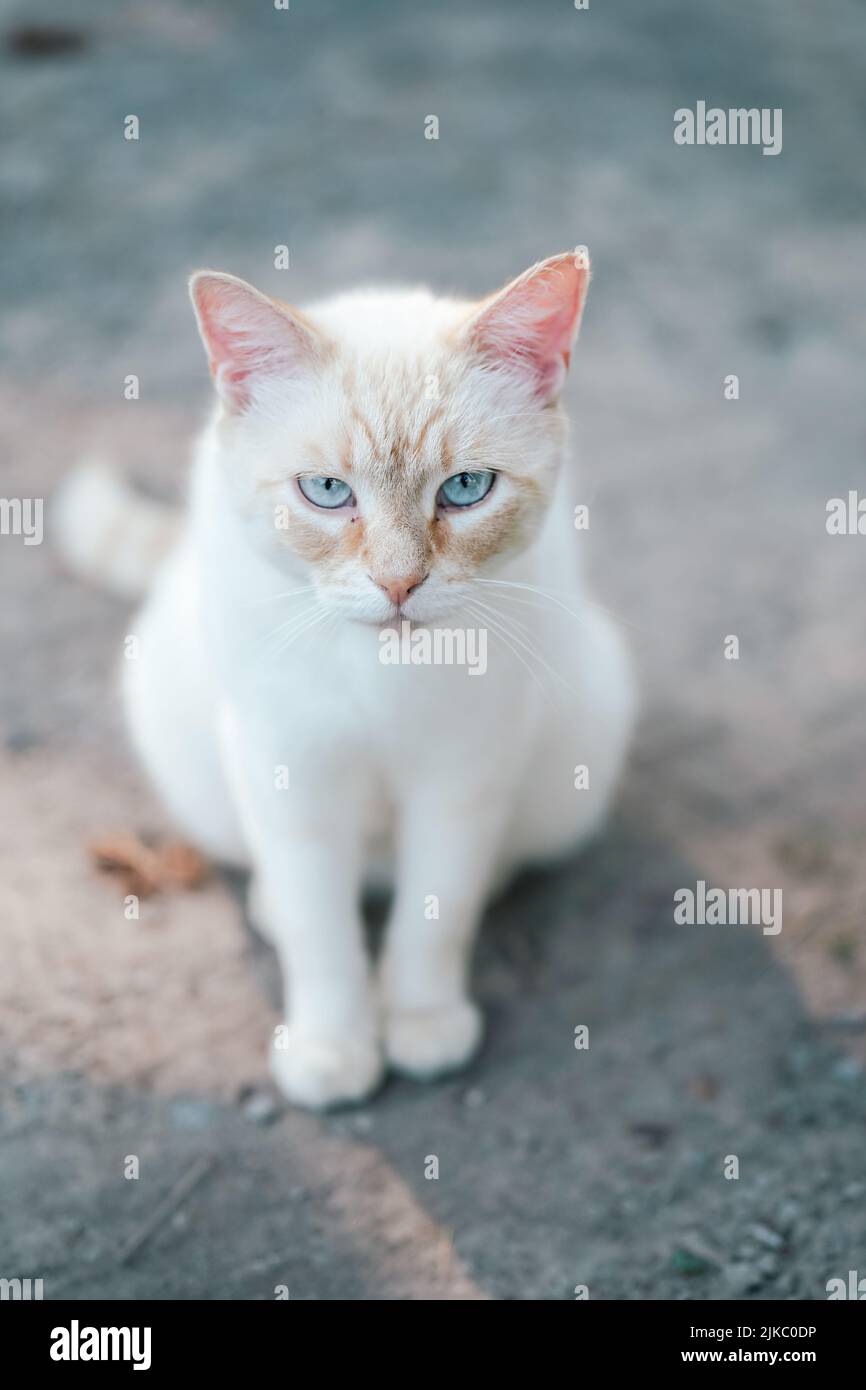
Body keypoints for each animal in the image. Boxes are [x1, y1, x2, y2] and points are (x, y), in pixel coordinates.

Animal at [55, 250, 636, 1112]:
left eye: (466, 489)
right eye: (327, 493)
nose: (398, 584)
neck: (381, 674)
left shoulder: (461, 775)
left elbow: (437, 910)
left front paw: (422, 1022)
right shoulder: (292, 774)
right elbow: (319, 930)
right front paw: (332, 1049)